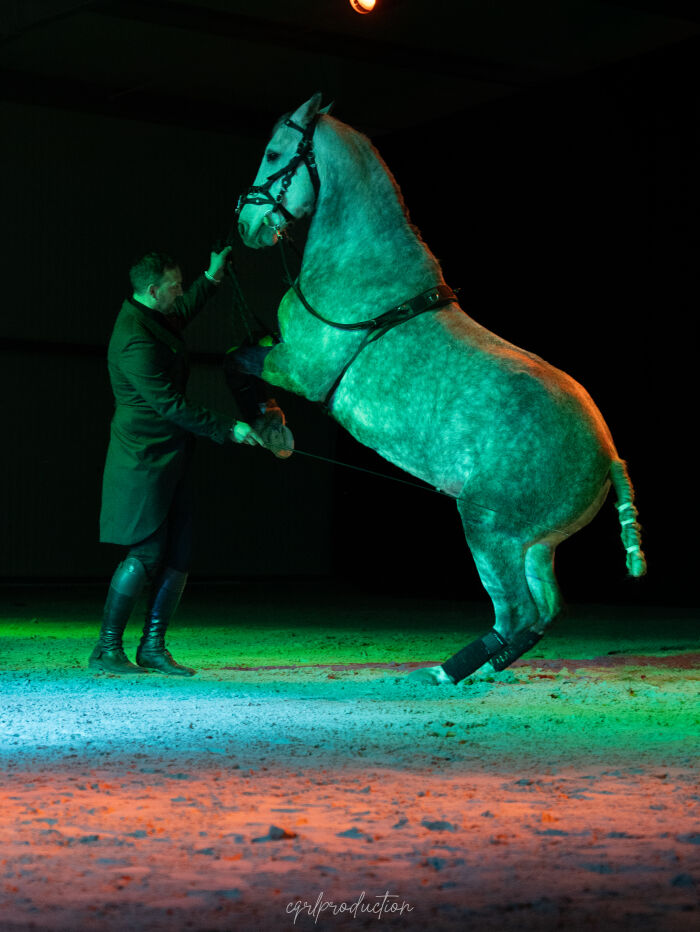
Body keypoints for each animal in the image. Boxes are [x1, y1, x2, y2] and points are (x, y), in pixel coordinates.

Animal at [235, 94, 644, 684]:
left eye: (272, 154)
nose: (245, 222)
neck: (364, 271)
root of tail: (609, 453)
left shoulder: (296, 367)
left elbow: (234, 361)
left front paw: (267, 425)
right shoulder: (284, 355)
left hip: (489, 528)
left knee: (517, 611)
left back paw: (447, 672)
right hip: (534, 545)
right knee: (545, 611)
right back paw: (487, 667)